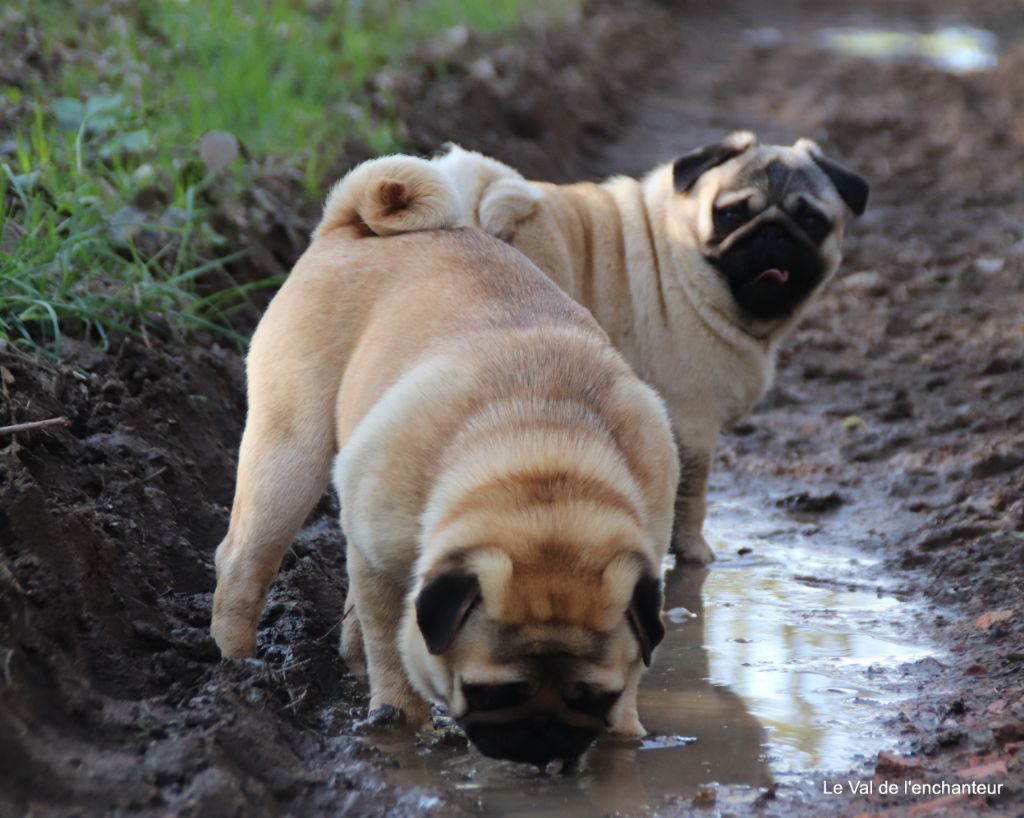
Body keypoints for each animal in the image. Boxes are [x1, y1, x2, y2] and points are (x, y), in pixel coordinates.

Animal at [209, 174, 679, 769]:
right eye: (491, 693)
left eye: (594, 697)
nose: (542, 742)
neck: (543, 463)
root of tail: (352, 226)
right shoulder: (382, 568)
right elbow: (391, 642)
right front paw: (399, 718)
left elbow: (638, 656)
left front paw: (624, 732)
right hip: (289, 456)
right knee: (244, 566)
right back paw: (239, 673)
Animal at [323, 136, 868, 569]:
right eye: (731, 213)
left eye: (812, 221)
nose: (773, 234)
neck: (686, 260)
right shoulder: (694, 424)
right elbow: (692, 497)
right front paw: (693, 554)